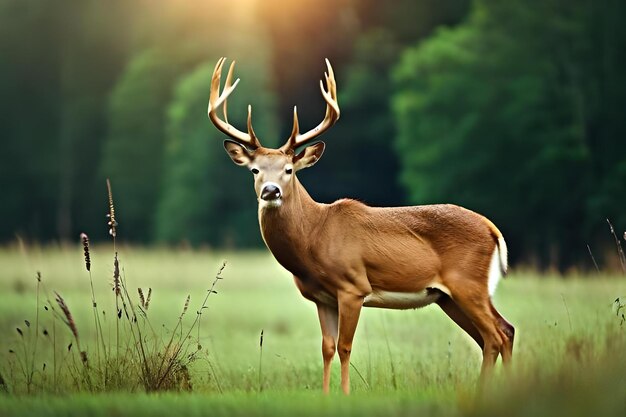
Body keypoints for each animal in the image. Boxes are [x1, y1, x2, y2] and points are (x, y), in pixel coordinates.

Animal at [207, 57, 516, 392]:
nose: (271, 191)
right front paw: (326, 394)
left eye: (289, 169)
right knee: (499, 333)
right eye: (255, 170)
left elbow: (345, 347)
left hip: (467, 284)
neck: (314, 236)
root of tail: (492, 228)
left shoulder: (353, 286)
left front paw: (345, 394)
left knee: (496, 334)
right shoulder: (322, 297)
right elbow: (327, 347)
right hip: (448, 296)